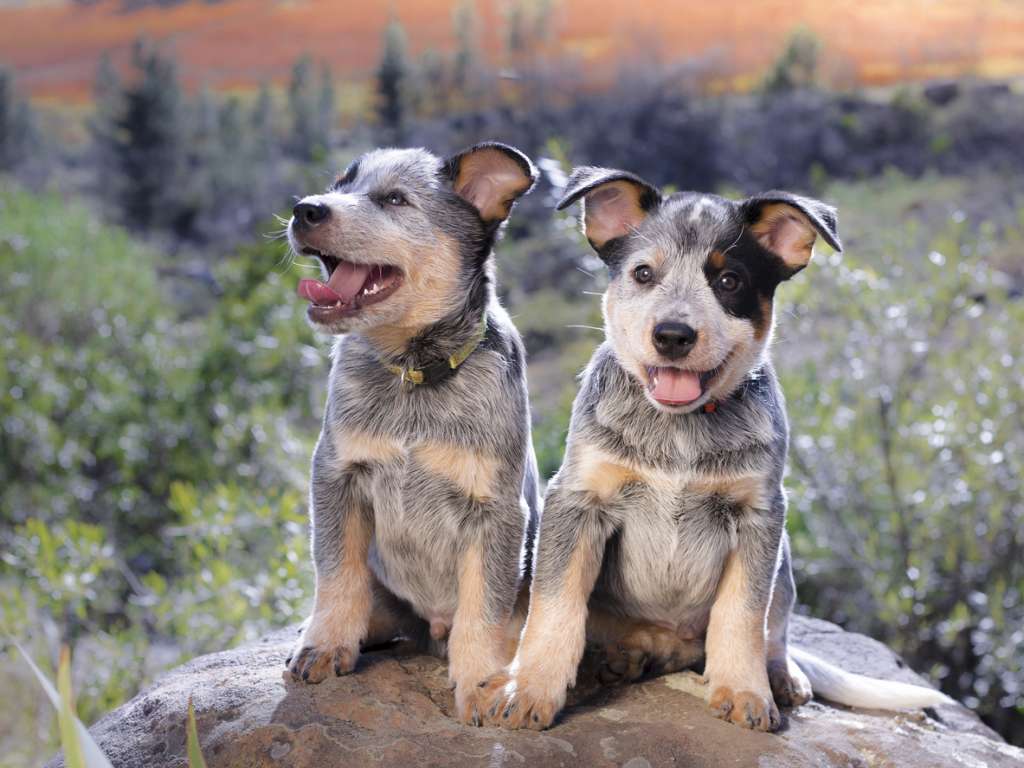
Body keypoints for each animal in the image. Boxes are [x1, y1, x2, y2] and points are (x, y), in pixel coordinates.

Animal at [284, 144, 540, 729]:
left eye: (395, 199)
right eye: (340, 185)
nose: (305, 209)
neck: (414, 375)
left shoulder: (496, 509)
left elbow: (482, 608)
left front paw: (480, 683)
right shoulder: (337, 474)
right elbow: (337, 573)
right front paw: (325, 645)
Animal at [479, 165, 950, 729]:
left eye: (730, 281)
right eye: (643, 274)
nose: (673, 335)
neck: (679, 430)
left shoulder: (759, 515)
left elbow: (743, 613)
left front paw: (746, 690)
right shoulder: (579, 499)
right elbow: (555, 604)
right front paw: (529, 686)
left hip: (784, 559)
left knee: (774, 627)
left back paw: (780, 674)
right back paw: (620, 658)